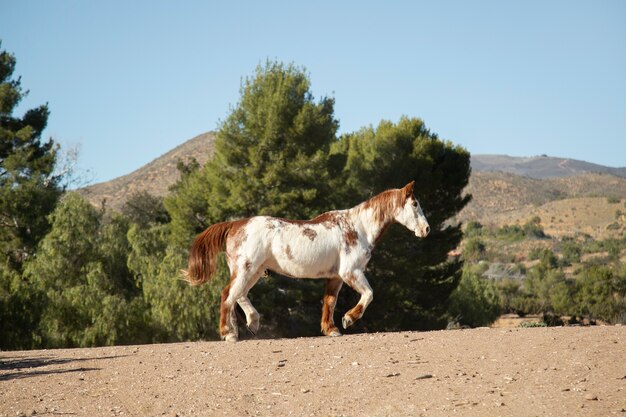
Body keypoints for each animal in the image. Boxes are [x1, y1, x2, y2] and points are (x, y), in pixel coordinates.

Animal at [182, 181, 428, 342]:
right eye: (415, 204)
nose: (426, 229)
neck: (358, 228)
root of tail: (235, 224)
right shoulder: (351, 272)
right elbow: (368, 294)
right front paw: (348, 319)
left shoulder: (335, 277)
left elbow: (329, 303)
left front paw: (331, 329)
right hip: (246, 270)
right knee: (228, 295)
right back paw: (228, 333)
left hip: (253, 271)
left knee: (238, 295)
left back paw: (250, 323)